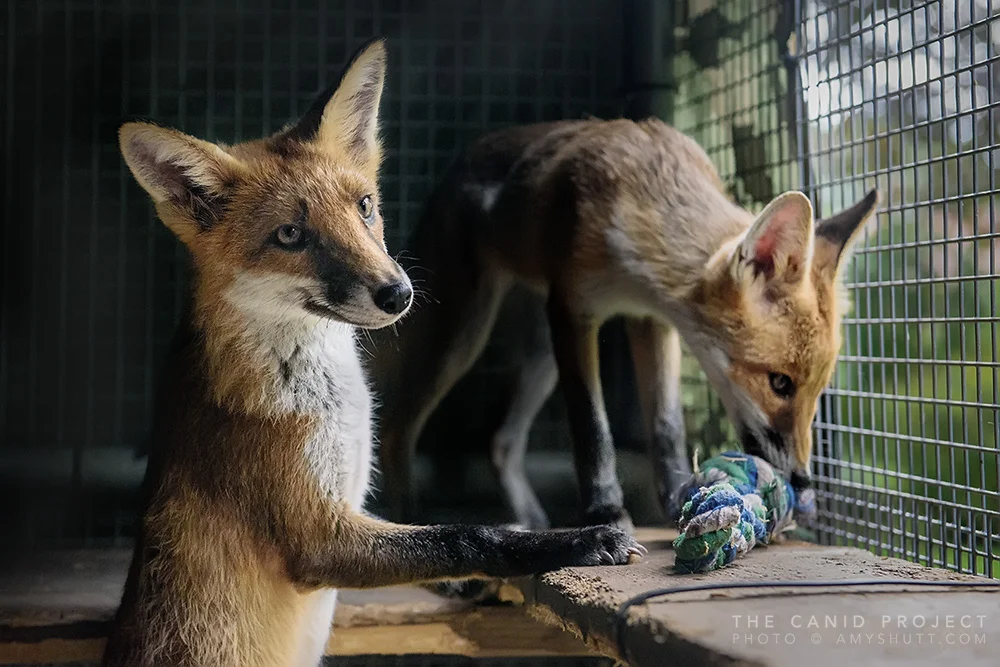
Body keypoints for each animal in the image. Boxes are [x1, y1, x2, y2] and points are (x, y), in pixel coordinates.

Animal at [103, 39, 643, 667]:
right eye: (291, 235)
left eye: (364, 206)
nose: (397, 293)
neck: (331, 397)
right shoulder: (317, 536)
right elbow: (464, 536)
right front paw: (581, 540)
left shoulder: (355, 506)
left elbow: (431, 543)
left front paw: (471, 581)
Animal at [371, 118, 878, 532]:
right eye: (779, 383)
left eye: (817, 390)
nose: (802, 480)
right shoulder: (573, 310)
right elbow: (593, 429)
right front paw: (604, 513)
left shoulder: (651, 320)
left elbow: (667, 428)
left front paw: (680, 498)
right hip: (464, 334)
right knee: (397, 428)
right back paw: (414, 521)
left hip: (540, 356)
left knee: (500, 441)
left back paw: (532, 521)